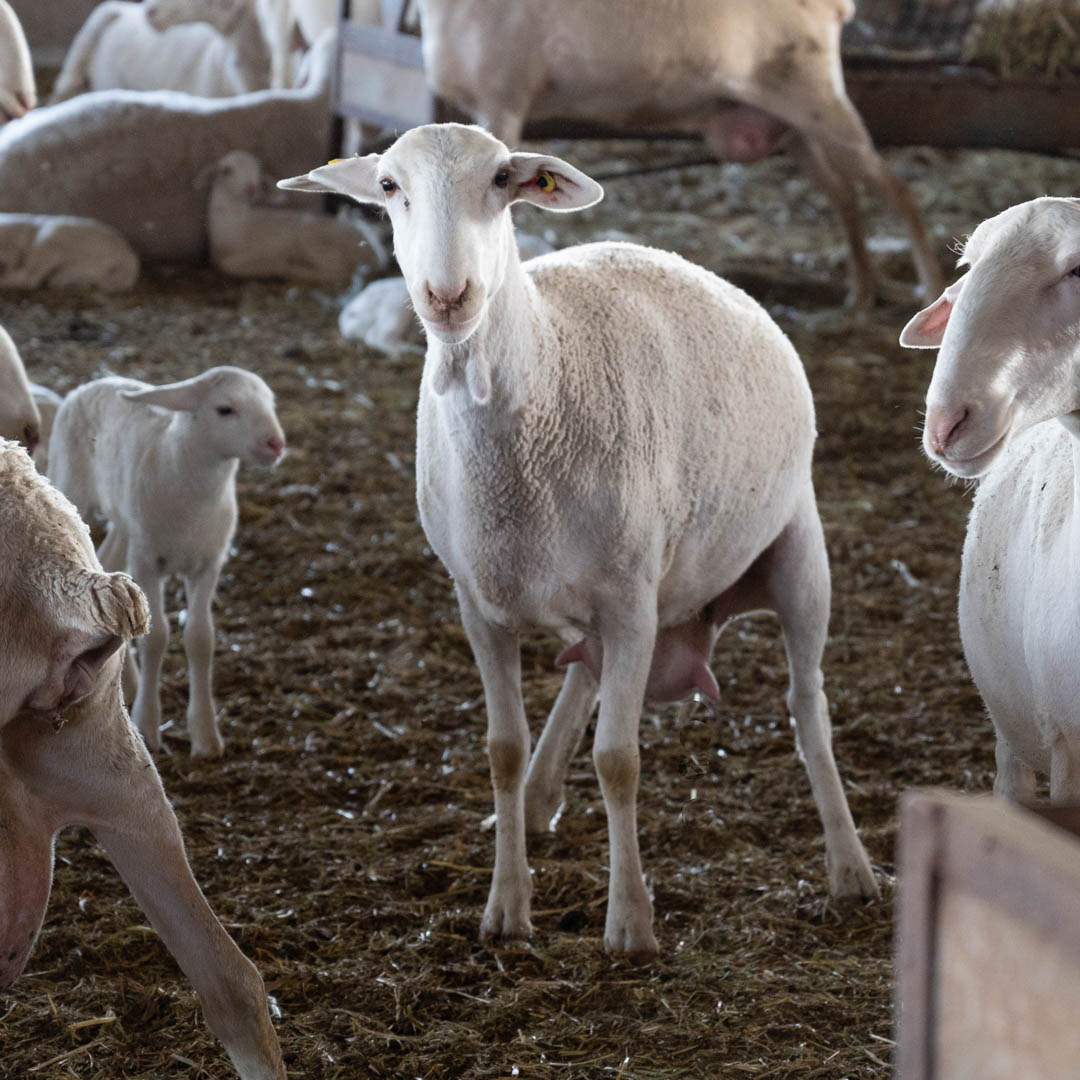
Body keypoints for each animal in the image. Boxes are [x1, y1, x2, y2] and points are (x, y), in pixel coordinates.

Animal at [48, 367, 286, 759]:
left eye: (270, 402)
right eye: (225, 409)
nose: (276, 444)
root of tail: (95, 382)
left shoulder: (208, 564)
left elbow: (200, 637)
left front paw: (205, 736)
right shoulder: (149, 562)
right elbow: (157, 636)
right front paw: (147, 724)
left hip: (127, 522)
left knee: (109, 563)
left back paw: (128, 679)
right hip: (73, 488)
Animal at [206, 148, 386, 283]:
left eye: (257, 172)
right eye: (226, 170)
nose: (251, 188)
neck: (237, 221)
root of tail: (375, 254)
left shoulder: (266, 247)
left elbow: (230, 265)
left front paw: (275, 265)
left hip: (314, 240)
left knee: (340, 272)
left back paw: (295, 270)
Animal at [280, 123, 878, 959]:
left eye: (503, 179)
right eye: (390, 187)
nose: (448, 297)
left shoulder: (629, 600)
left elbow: (619, 761)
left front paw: (629, 923)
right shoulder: (481, 605)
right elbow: (501, 750)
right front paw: (506, 905)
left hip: (797, 552)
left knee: (807, 705)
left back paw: (850, 866)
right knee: (587, 681)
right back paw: (536, 803)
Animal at [413, 0, 942, 309]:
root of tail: (834, 8)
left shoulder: (502, 102)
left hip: (819, 100)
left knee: (896, 189)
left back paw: (929, 290)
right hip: (792, 125)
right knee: (844, 193)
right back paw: (861, 292)